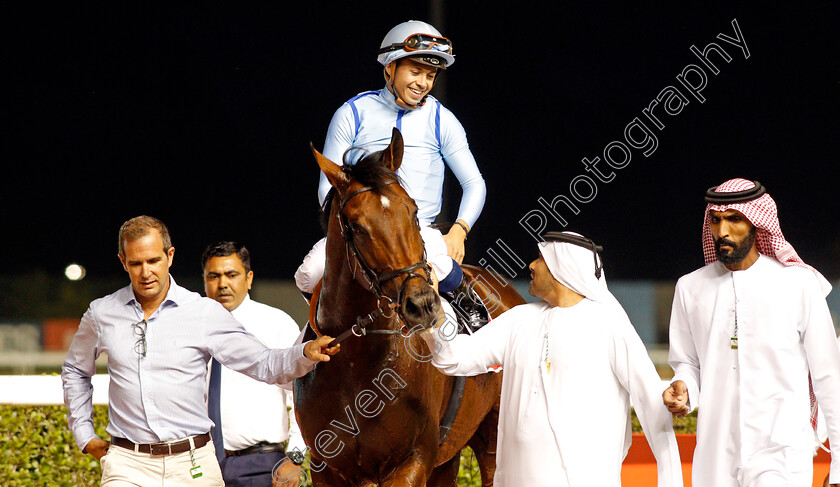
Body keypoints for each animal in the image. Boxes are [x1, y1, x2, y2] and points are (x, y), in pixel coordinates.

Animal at [296, 130, 524, 487]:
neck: (356, 363)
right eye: (356, 226)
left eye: (414, 212)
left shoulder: (411, 461)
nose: (422, 305)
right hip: (449, 456)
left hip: (494, 438)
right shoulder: (327, 468)